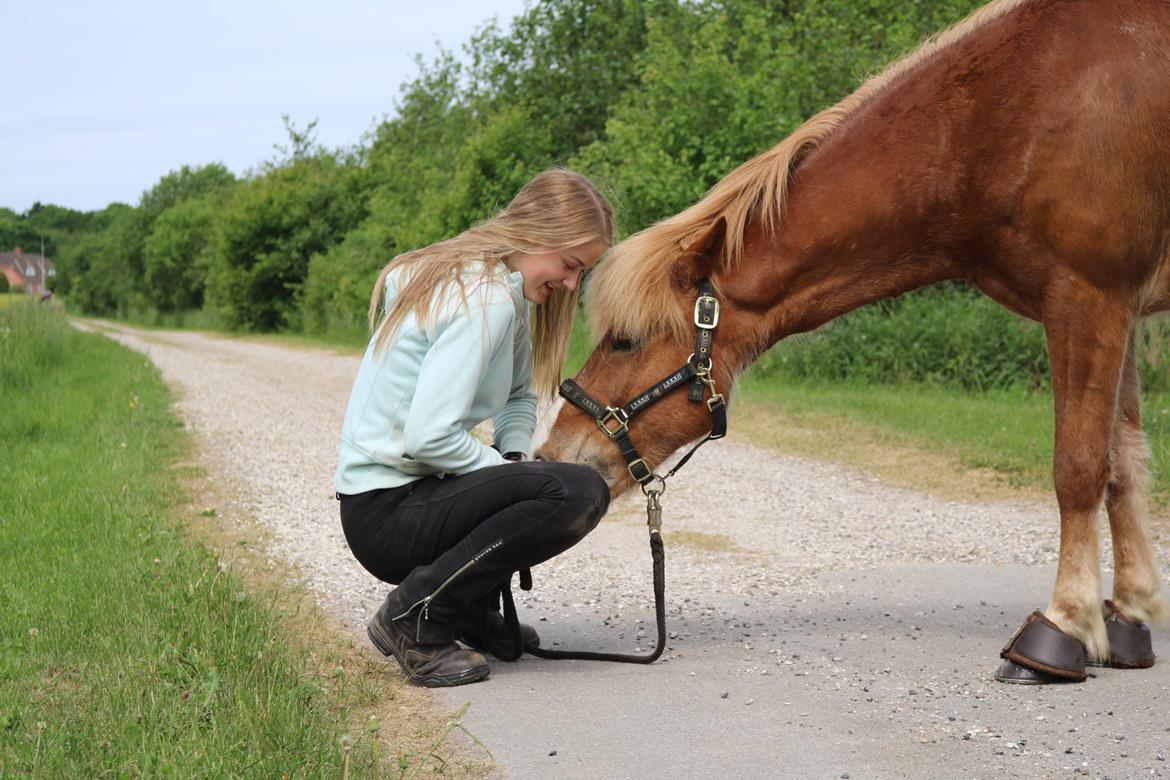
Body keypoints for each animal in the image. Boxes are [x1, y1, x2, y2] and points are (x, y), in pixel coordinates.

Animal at [538, 0, 1170, 682]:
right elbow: (1123, 464)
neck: (1012, 113)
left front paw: (1063, 627)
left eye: (625, 341)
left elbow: (1079, 466)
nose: (556, 453)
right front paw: (1128, 617)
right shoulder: (1118, 308)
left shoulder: (1088, 295)